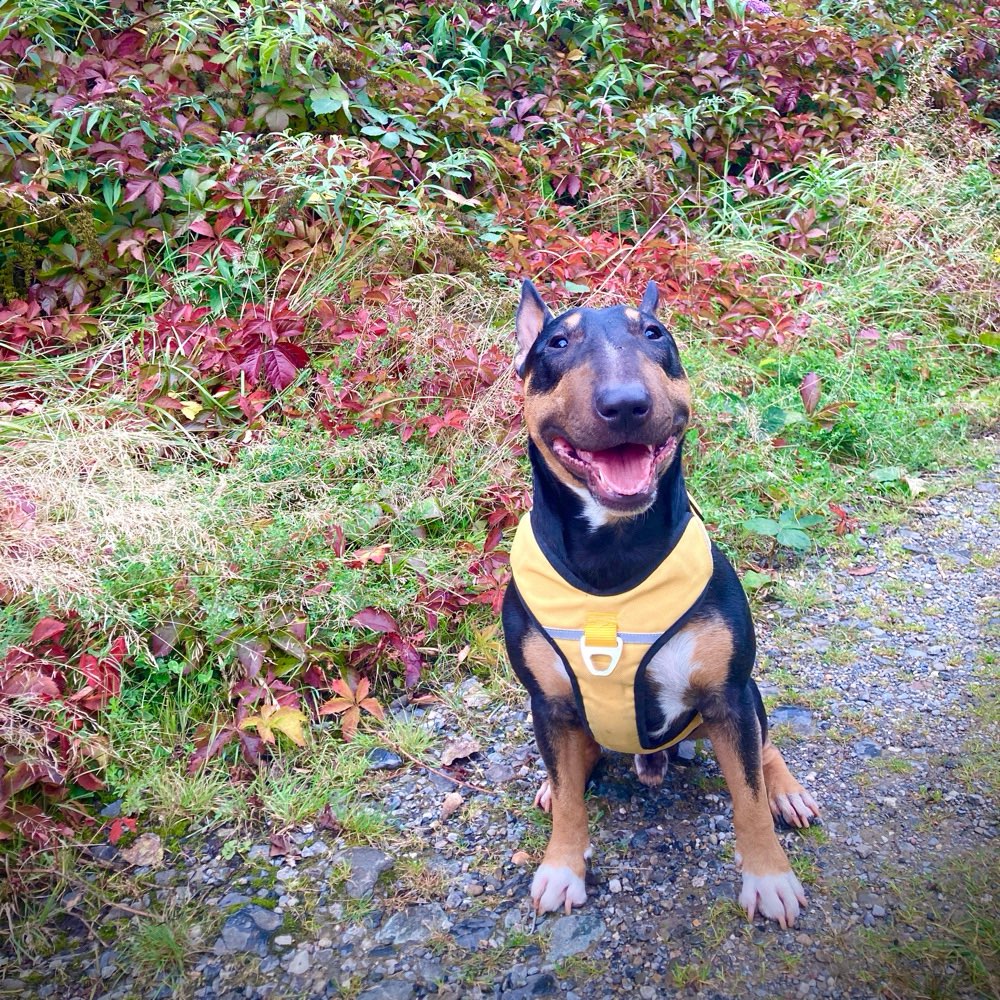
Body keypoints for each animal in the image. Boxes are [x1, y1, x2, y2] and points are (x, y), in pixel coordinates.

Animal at [500, 278, 820, 924]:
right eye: (557, 342)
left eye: (654, 334)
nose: (625, 405)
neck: (613, 555)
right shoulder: (547, 703)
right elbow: (569, 800)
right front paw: (562, 865)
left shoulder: (728, 694)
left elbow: (748, 796)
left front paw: (769, 877)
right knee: (571, 768)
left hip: (744, 697)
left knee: (765, 748)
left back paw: (788, 791)